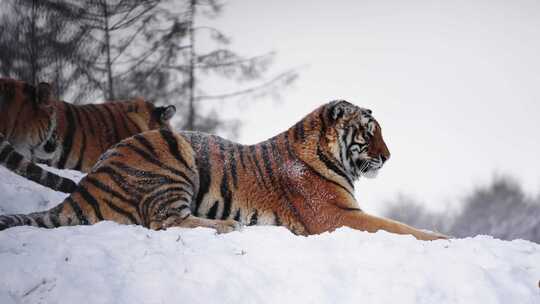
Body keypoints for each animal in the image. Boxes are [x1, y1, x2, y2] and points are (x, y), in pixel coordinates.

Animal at [0, 101, 448, 241]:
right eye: (370, 133)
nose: (388, 156)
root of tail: (92, 177)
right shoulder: (338, 216)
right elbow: (399, 227)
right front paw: (443, 238)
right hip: (172, 154)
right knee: (163, 221)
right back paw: (229, 226)